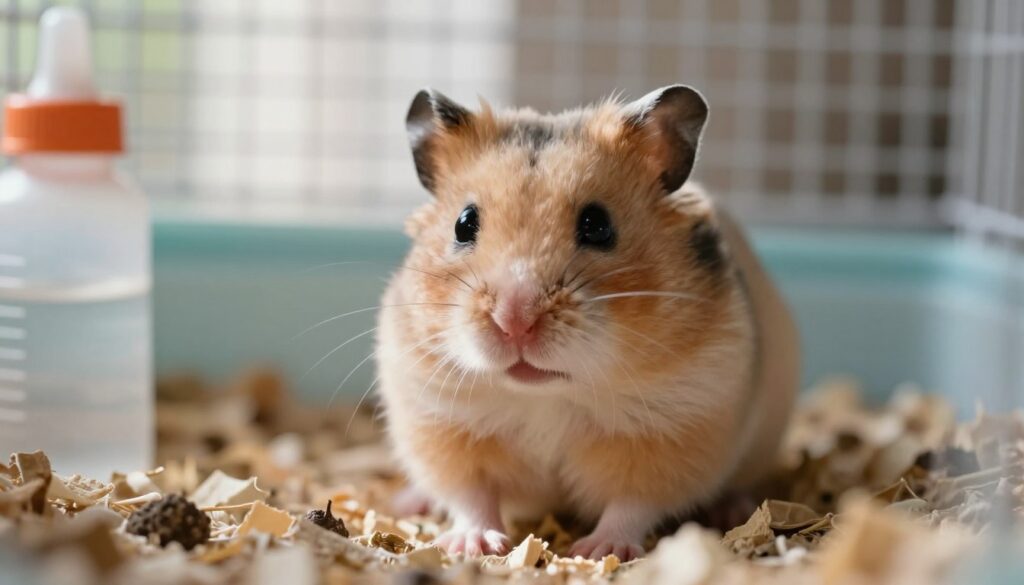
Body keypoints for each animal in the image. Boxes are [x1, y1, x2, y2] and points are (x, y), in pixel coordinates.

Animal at [376, 85, 799, 560]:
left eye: (597, 225)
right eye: (464, 224)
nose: (514, 320)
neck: (548, 394)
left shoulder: (676, 429)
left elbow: (632, 504)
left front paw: (598, 551)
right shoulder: (440, 419)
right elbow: (471, 496)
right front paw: (471, 546)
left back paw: (733, 509)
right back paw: (409, 502)